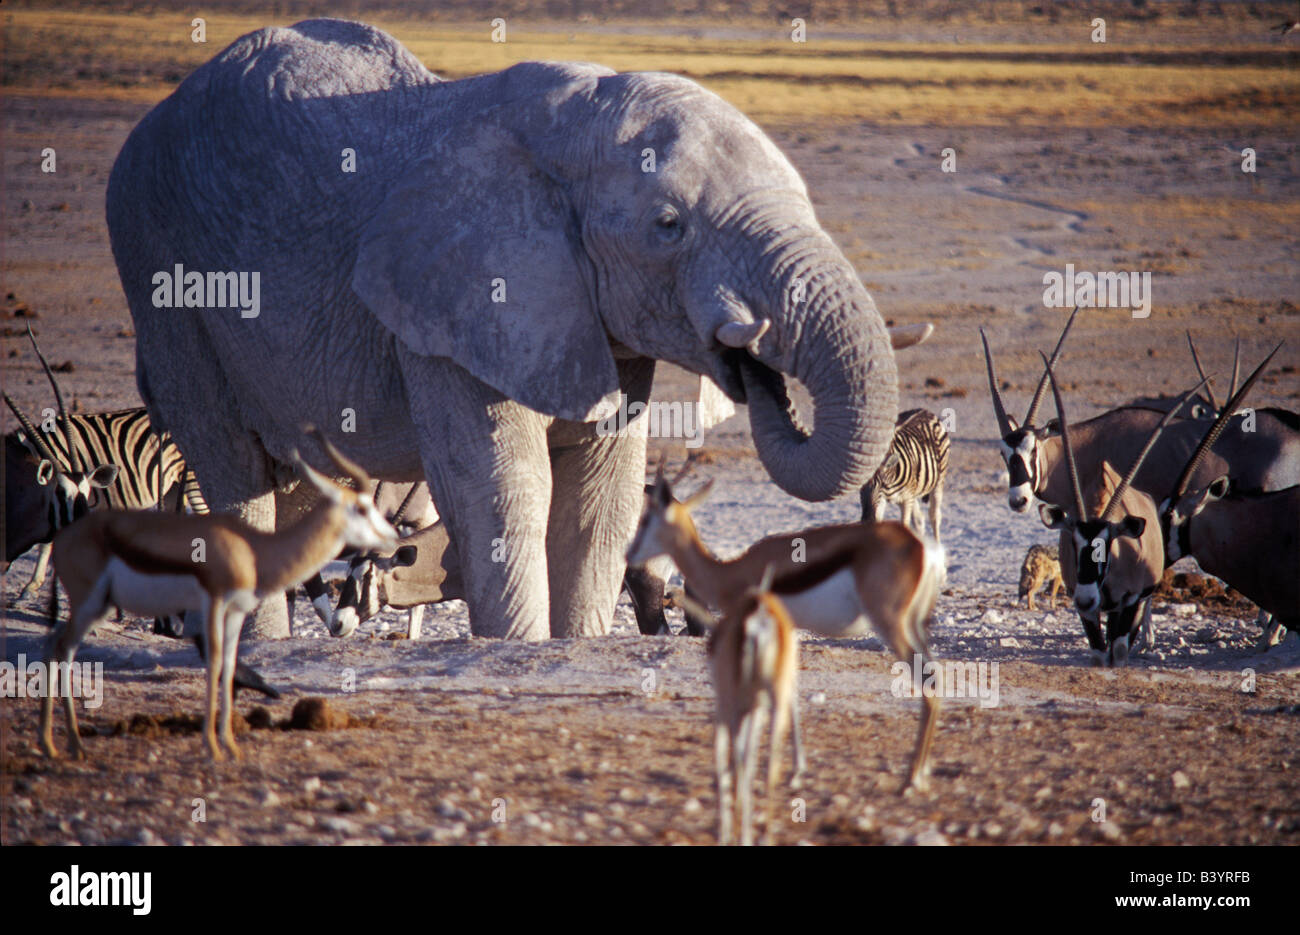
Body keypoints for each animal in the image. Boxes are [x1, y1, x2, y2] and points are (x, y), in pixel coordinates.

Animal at [106, 18, 899, 645]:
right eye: (668, 225)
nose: (749, 350)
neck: (572, 125)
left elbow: (599, 502)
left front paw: (578, 646)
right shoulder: (447, 304)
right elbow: (501, 489)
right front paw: (520, 642)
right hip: (161, 273)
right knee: (234, 470)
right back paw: (262, 647)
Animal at [857, 405, 951, 546]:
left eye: (882, 484)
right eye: (860, 488)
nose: (867, 520)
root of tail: (925, 410)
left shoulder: (905, 500)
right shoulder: (886, 501)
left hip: (938, 481)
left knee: (934, 516)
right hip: (915, 490)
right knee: (919, 521)